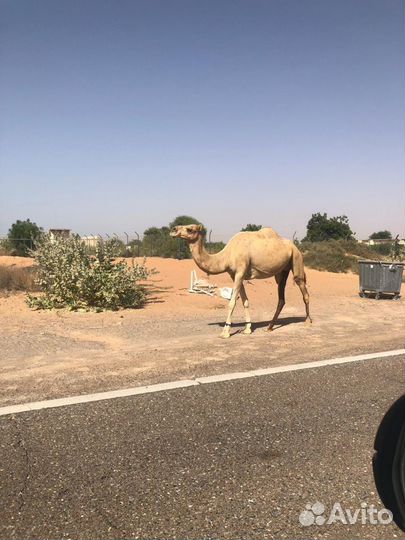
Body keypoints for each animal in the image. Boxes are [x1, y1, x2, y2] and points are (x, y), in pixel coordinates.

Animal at [169, 224, 310, 338]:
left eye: (190, 229)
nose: (173, 229)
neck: (226, 256)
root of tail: (294, 246)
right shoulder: (235, 275)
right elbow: (245, 301)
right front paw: (247, 329)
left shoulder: (240, 272)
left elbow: (232, 302)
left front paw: (225, 332)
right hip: (283, 270)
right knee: (281, 296)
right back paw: (269, 327)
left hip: (296, 259)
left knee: (303, 288)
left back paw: (308, 321)